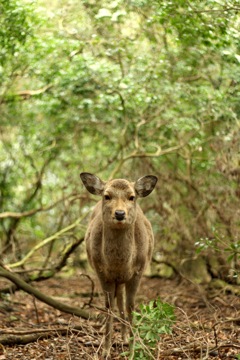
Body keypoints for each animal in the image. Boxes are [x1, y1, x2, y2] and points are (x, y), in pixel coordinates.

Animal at [79, 173, 158, 358]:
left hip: (125, 278)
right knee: (117, 299)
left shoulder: (138, 271)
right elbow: (109, 307)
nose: (120, 213)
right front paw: (105, 351)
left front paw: (132, 351)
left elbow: (131, 307)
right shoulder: (102, 272)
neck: (118, 264)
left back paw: (125, 337)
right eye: (107, 196)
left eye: (132, 197)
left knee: (122, 299)